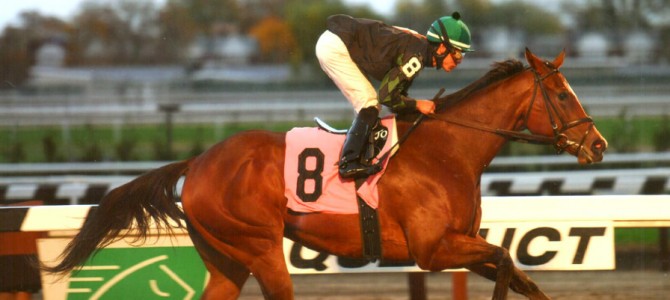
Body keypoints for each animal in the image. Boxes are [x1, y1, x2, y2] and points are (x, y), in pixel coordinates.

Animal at [44, 48, 608, 298]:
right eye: (562, 95)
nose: (598, 145)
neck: (448, 151)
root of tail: (199, 161)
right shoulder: (433, 250)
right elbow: (507, 257)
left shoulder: (459, 244)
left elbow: (519, 273)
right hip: (260, 247)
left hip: (226, 258)